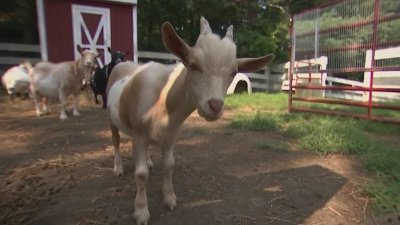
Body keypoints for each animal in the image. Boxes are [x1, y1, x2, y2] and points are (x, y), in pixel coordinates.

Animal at [105, 16, 276, 224]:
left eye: (234, 72)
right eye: (193, 65)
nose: (215, 106)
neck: (163, 99)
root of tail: (123, 63)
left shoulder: (171, 136)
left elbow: (169, 166)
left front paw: (170, 200)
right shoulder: (139, 136)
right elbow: (141, 174)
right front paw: (141, 212)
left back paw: (148, 161)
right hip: (111, 117)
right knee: (115, 140)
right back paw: (118, 168)